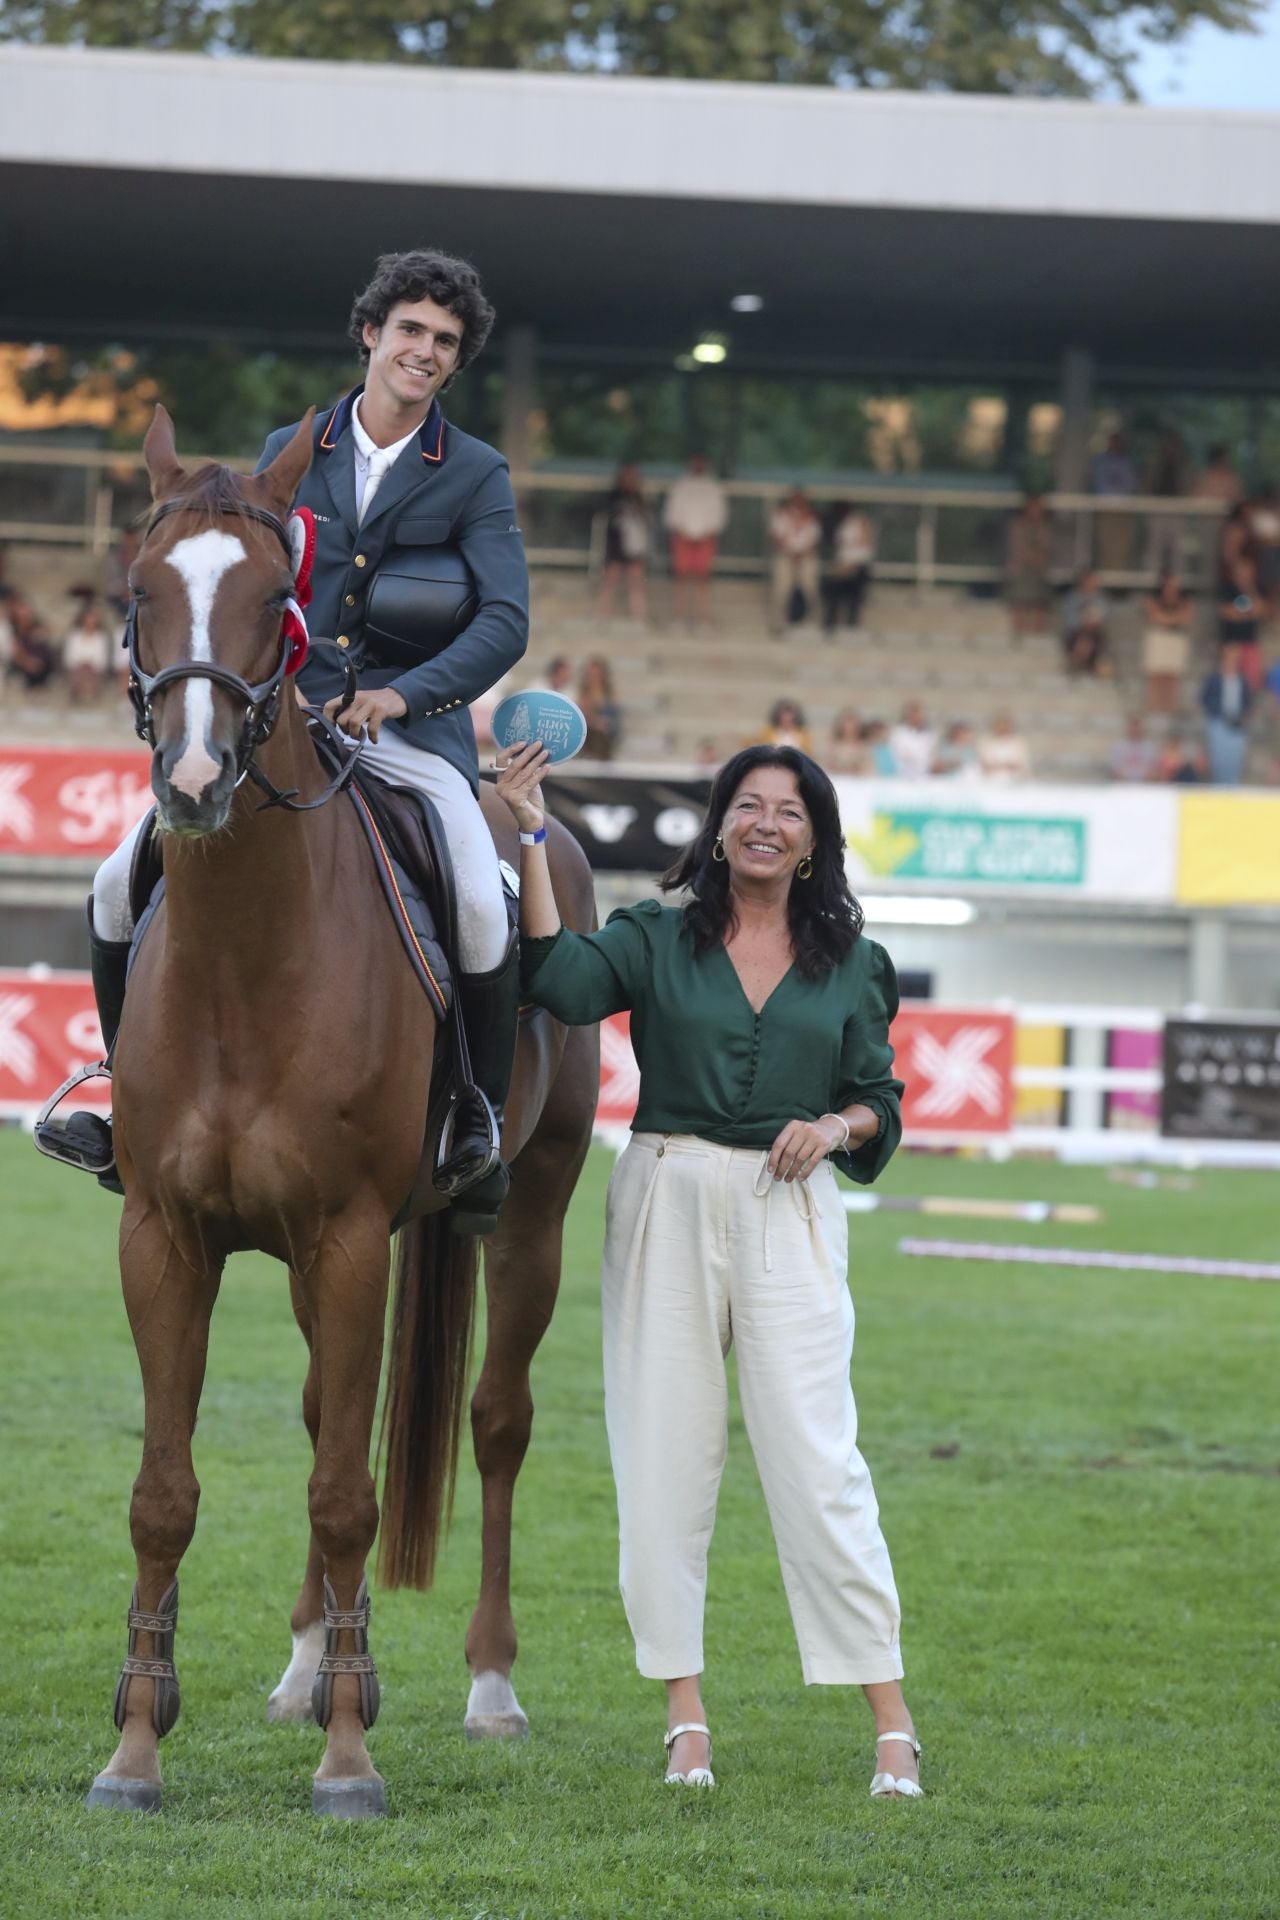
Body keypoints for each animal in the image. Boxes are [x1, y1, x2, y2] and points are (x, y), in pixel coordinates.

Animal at [90, 408, 602, 1812]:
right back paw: (302, 1666)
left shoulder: (350, 1237)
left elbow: (344, 1497)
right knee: (332, 1413)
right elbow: (167, 1493)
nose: (194, 778)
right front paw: (137, 1747)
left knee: (493, 1425)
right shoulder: (164, 1236)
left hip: (527, 1214)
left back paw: (488, 1689)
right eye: (139, 592)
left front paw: (348, 1757)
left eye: (279, 600)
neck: (244, 955)